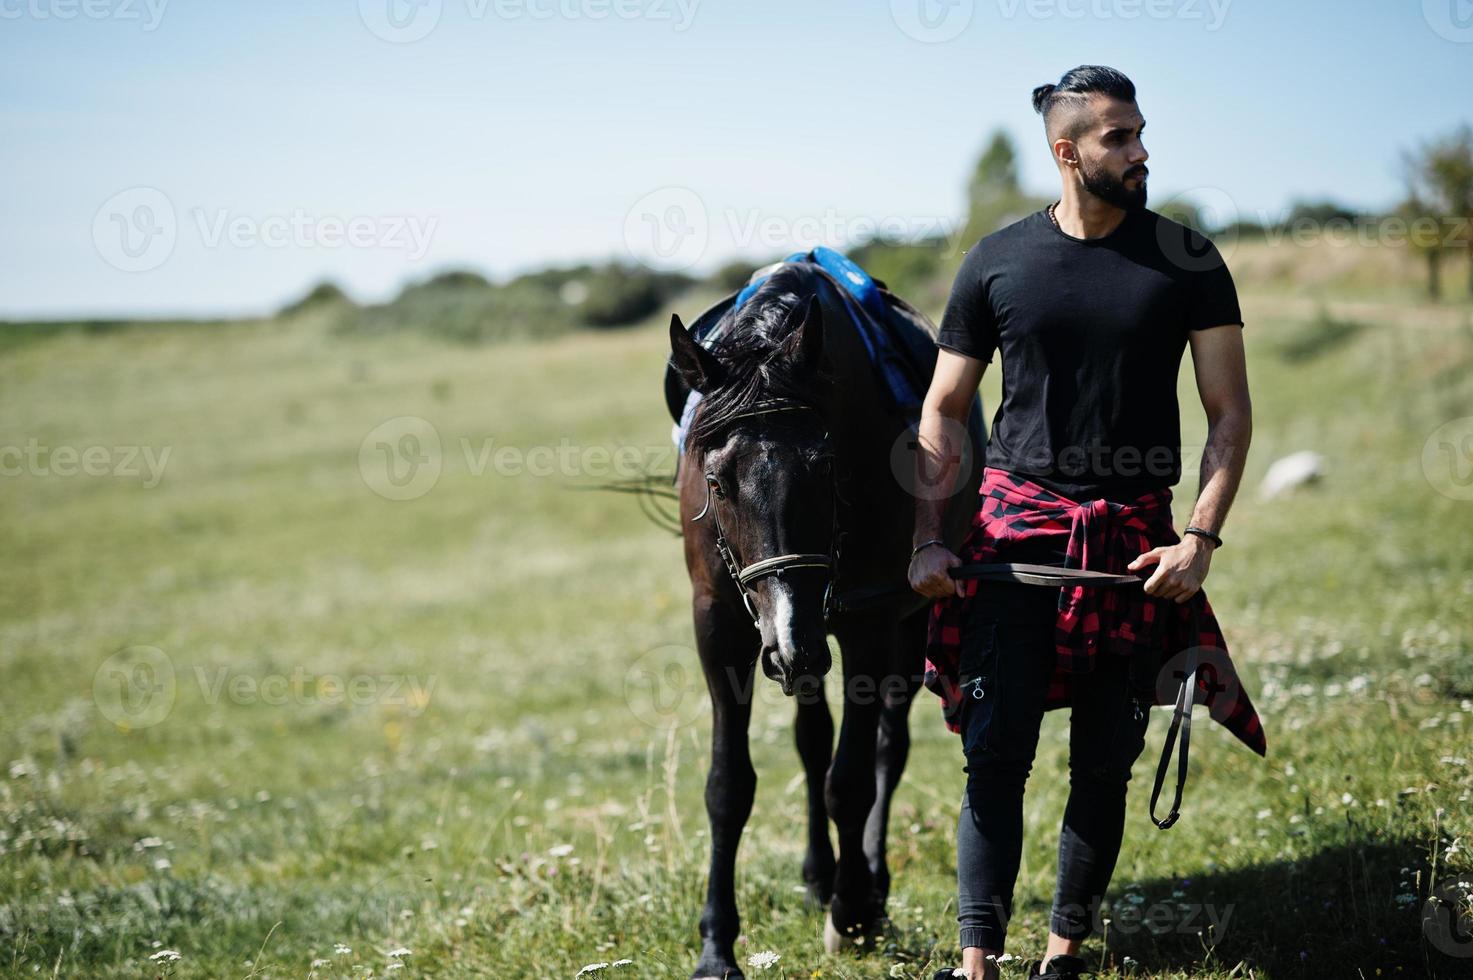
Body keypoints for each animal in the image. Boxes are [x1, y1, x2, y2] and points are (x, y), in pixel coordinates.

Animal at [671, 263, 989, 972]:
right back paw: (821, 873)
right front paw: (716, 947)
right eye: (717, 481)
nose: (790, 643)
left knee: (885, 751)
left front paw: (852, 912)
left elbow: (853, 779)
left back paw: (867, 883)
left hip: (888, 625)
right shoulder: (721, 626)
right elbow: (728, 786)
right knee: (812, 740)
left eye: (825, 468)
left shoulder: (869, 622)